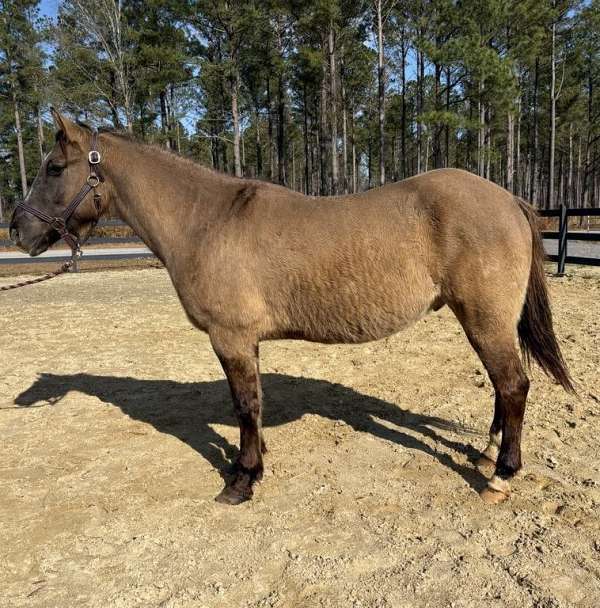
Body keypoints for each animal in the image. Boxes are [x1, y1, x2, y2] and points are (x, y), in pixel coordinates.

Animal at [9, 108, 572, 504]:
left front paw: (241, 481)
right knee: (504, 387)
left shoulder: (231, 338)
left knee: (513, 385)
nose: (19, 230)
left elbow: (244, 406)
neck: (206, 220)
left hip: (484, 319)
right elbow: (252, 404)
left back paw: (501, 474)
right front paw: (254, 464)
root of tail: (508, 199)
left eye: (54, 168)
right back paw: (487, 454)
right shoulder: (245, 343)